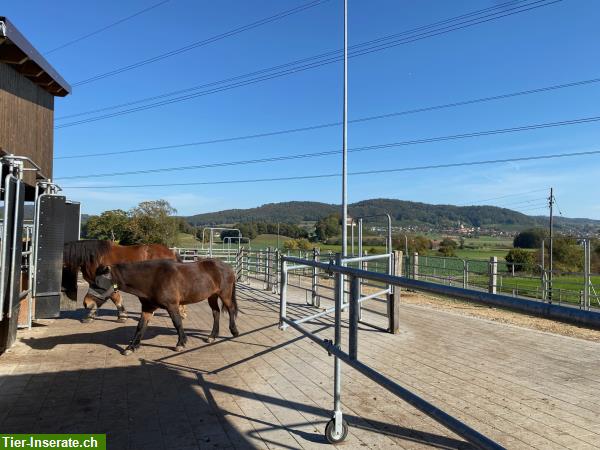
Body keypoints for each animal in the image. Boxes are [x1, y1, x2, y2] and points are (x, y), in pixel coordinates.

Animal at [88, 258, 238, 354]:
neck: (153, 278)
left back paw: (234, 331)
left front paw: (181, 344)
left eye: (98, 284)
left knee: (230, 309)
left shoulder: (172, 306)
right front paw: (132, 347)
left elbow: (177, 323)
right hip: (212, 296)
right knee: (216, 313)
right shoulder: (147, 308)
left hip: (224, 294)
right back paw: (212, 336)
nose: (87, 303)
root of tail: (228, 267)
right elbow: (140, 327)